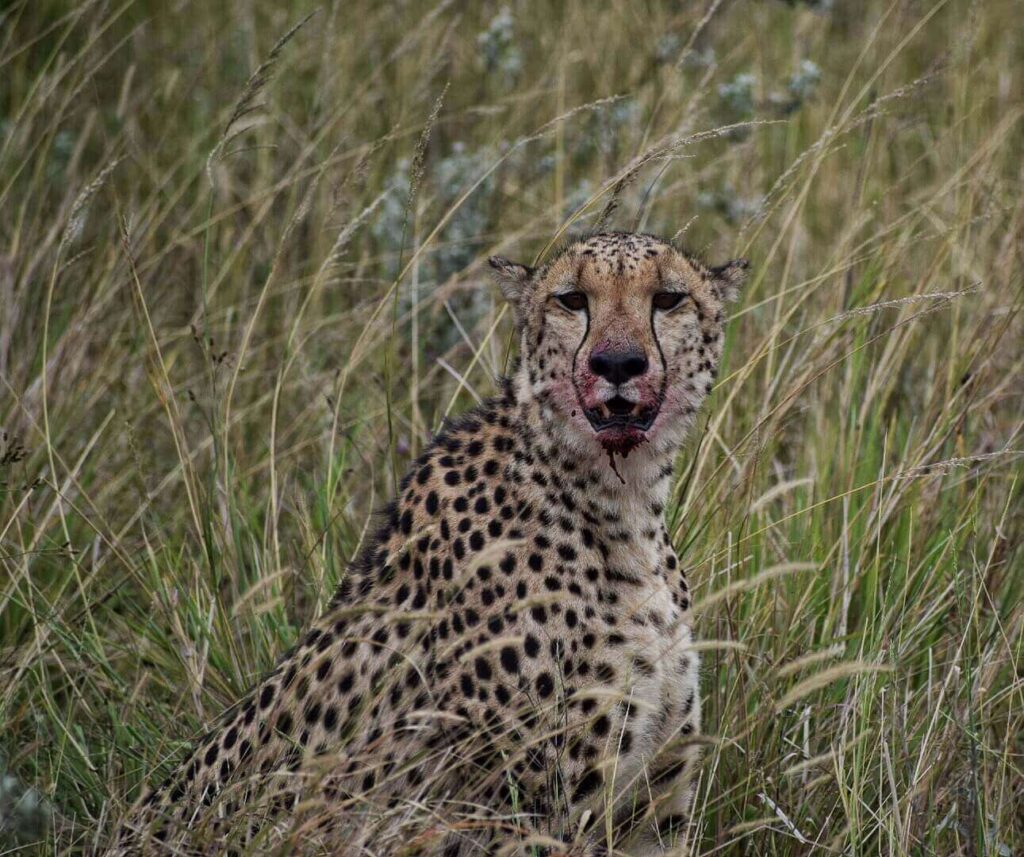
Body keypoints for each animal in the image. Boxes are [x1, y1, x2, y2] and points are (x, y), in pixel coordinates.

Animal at [112, 230, 745, 851]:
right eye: (571, 300)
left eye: (668, 299)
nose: (617, 362)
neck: (623, 503)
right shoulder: (531, 820)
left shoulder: (654, 811)